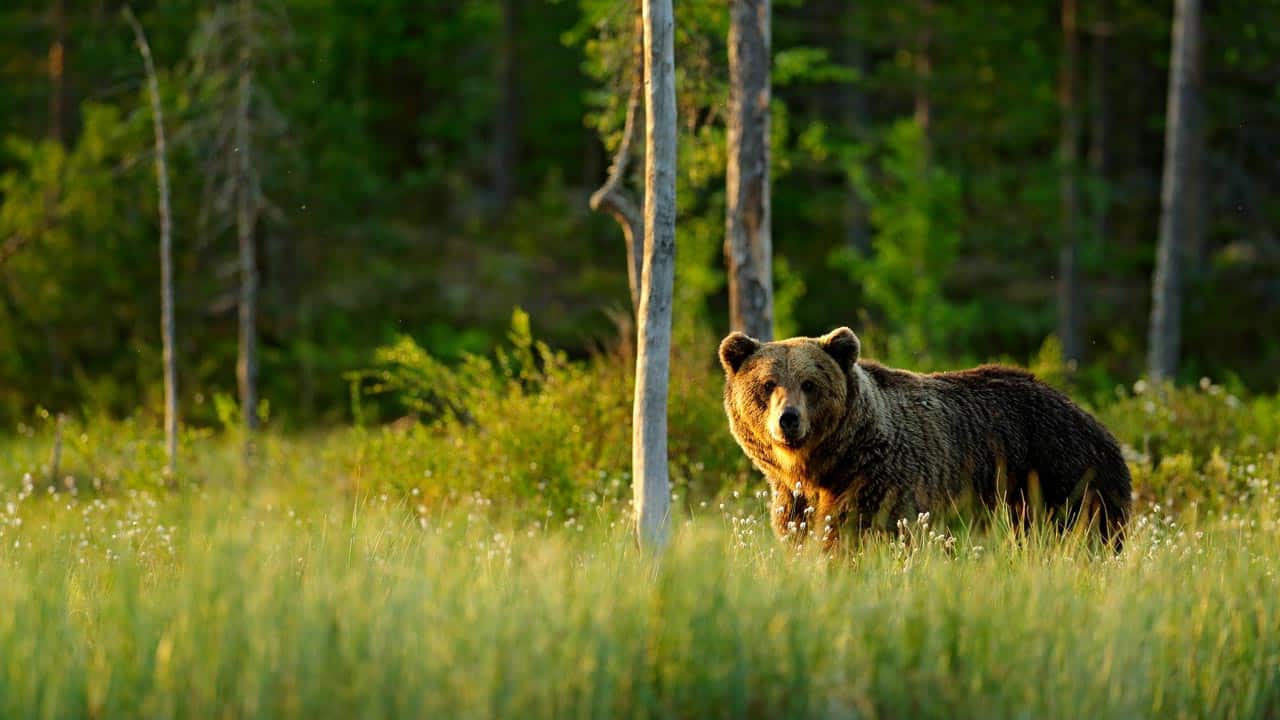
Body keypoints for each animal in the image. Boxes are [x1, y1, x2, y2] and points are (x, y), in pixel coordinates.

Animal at [721, 326, 1131, 548]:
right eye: (767, 384)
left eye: (809, 384)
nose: (788, 420)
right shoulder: (793, 500)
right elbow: (800, 534)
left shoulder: (880, 482)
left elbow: (857, 535)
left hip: (1061, 477)